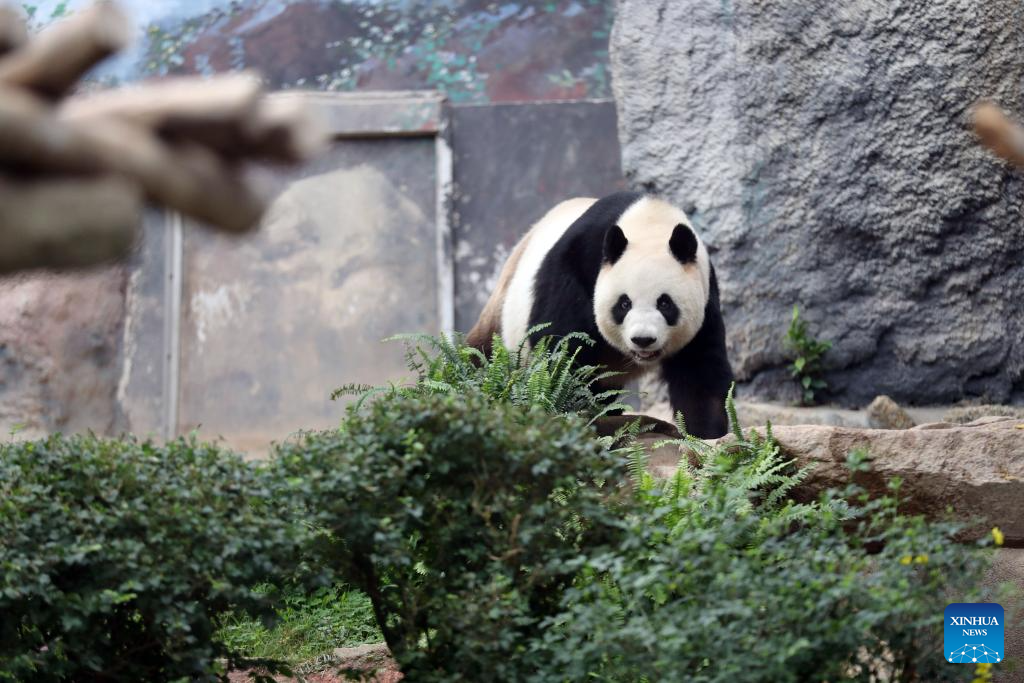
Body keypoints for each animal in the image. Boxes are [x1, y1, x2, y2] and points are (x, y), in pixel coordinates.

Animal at [468, 189, 733, 440]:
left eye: (665, 303)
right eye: (624, 303)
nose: (643, 340)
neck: (650, 222)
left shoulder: (705, 295)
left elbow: (700, 368)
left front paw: (704, 435)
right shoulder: (577, 266)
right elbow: (562, 350)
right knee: (481, 353)